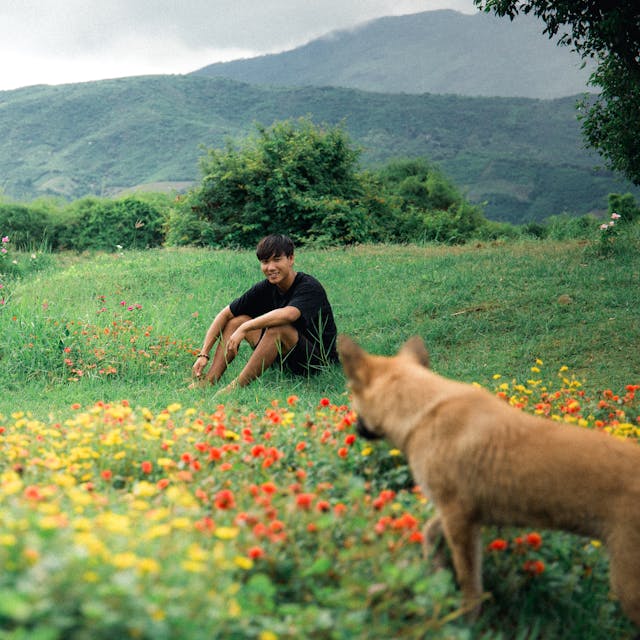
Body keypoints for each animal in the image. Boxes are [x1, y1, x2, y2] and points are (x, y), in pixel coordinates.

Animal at [338, 338, 636, 628]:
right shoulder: (460, 512)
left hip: (627, 585)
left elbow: (470, 583)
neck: (424, 412)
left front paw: (465, 622)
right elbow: (429, 532)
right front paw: (434, 570)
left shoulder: (459, 518)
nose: (356, 428)